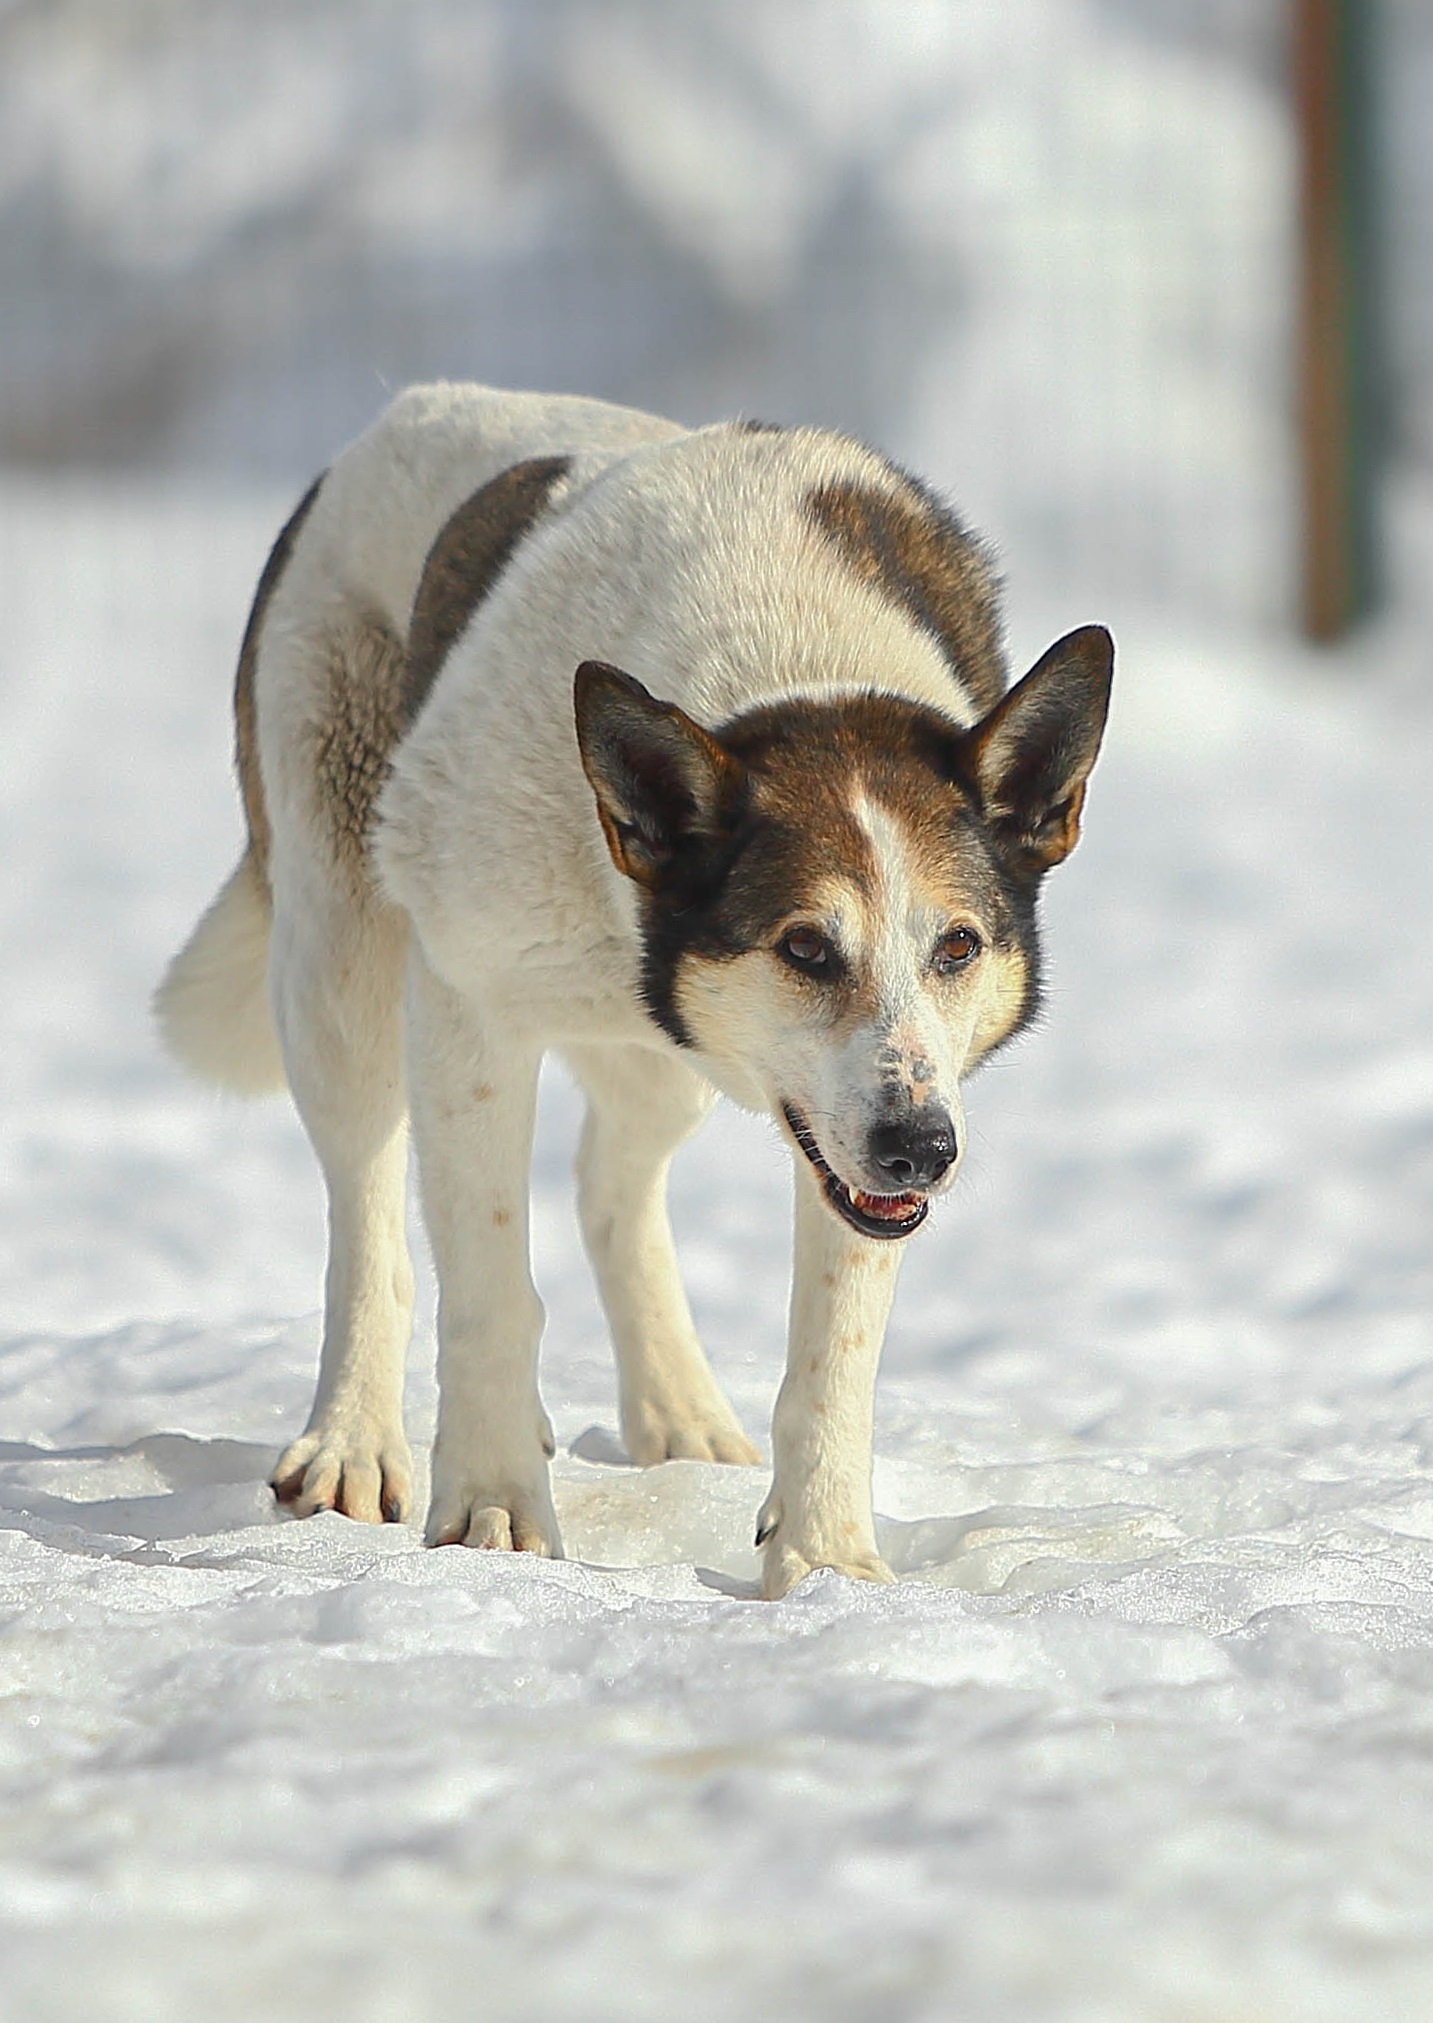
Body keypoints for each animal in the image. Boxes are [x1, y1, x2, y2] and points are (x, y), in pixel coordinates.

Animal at [159, 382, 1117, 1594]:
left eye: (956, 946)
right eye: (805, 947)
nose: (922, 1150)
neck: (783, 661)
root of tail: (398, 413)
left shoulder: (855, 1132)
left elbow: (834, 1349)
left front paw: (823, 1561)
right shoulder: (469, 1001)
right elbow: (486, 1284)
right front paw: (490, 1509)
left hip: (680, 1066)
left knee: (609, 1182)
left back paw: (680, 1416)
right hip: (338, 935)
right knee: (366, 1202)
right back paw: (351, 1441)